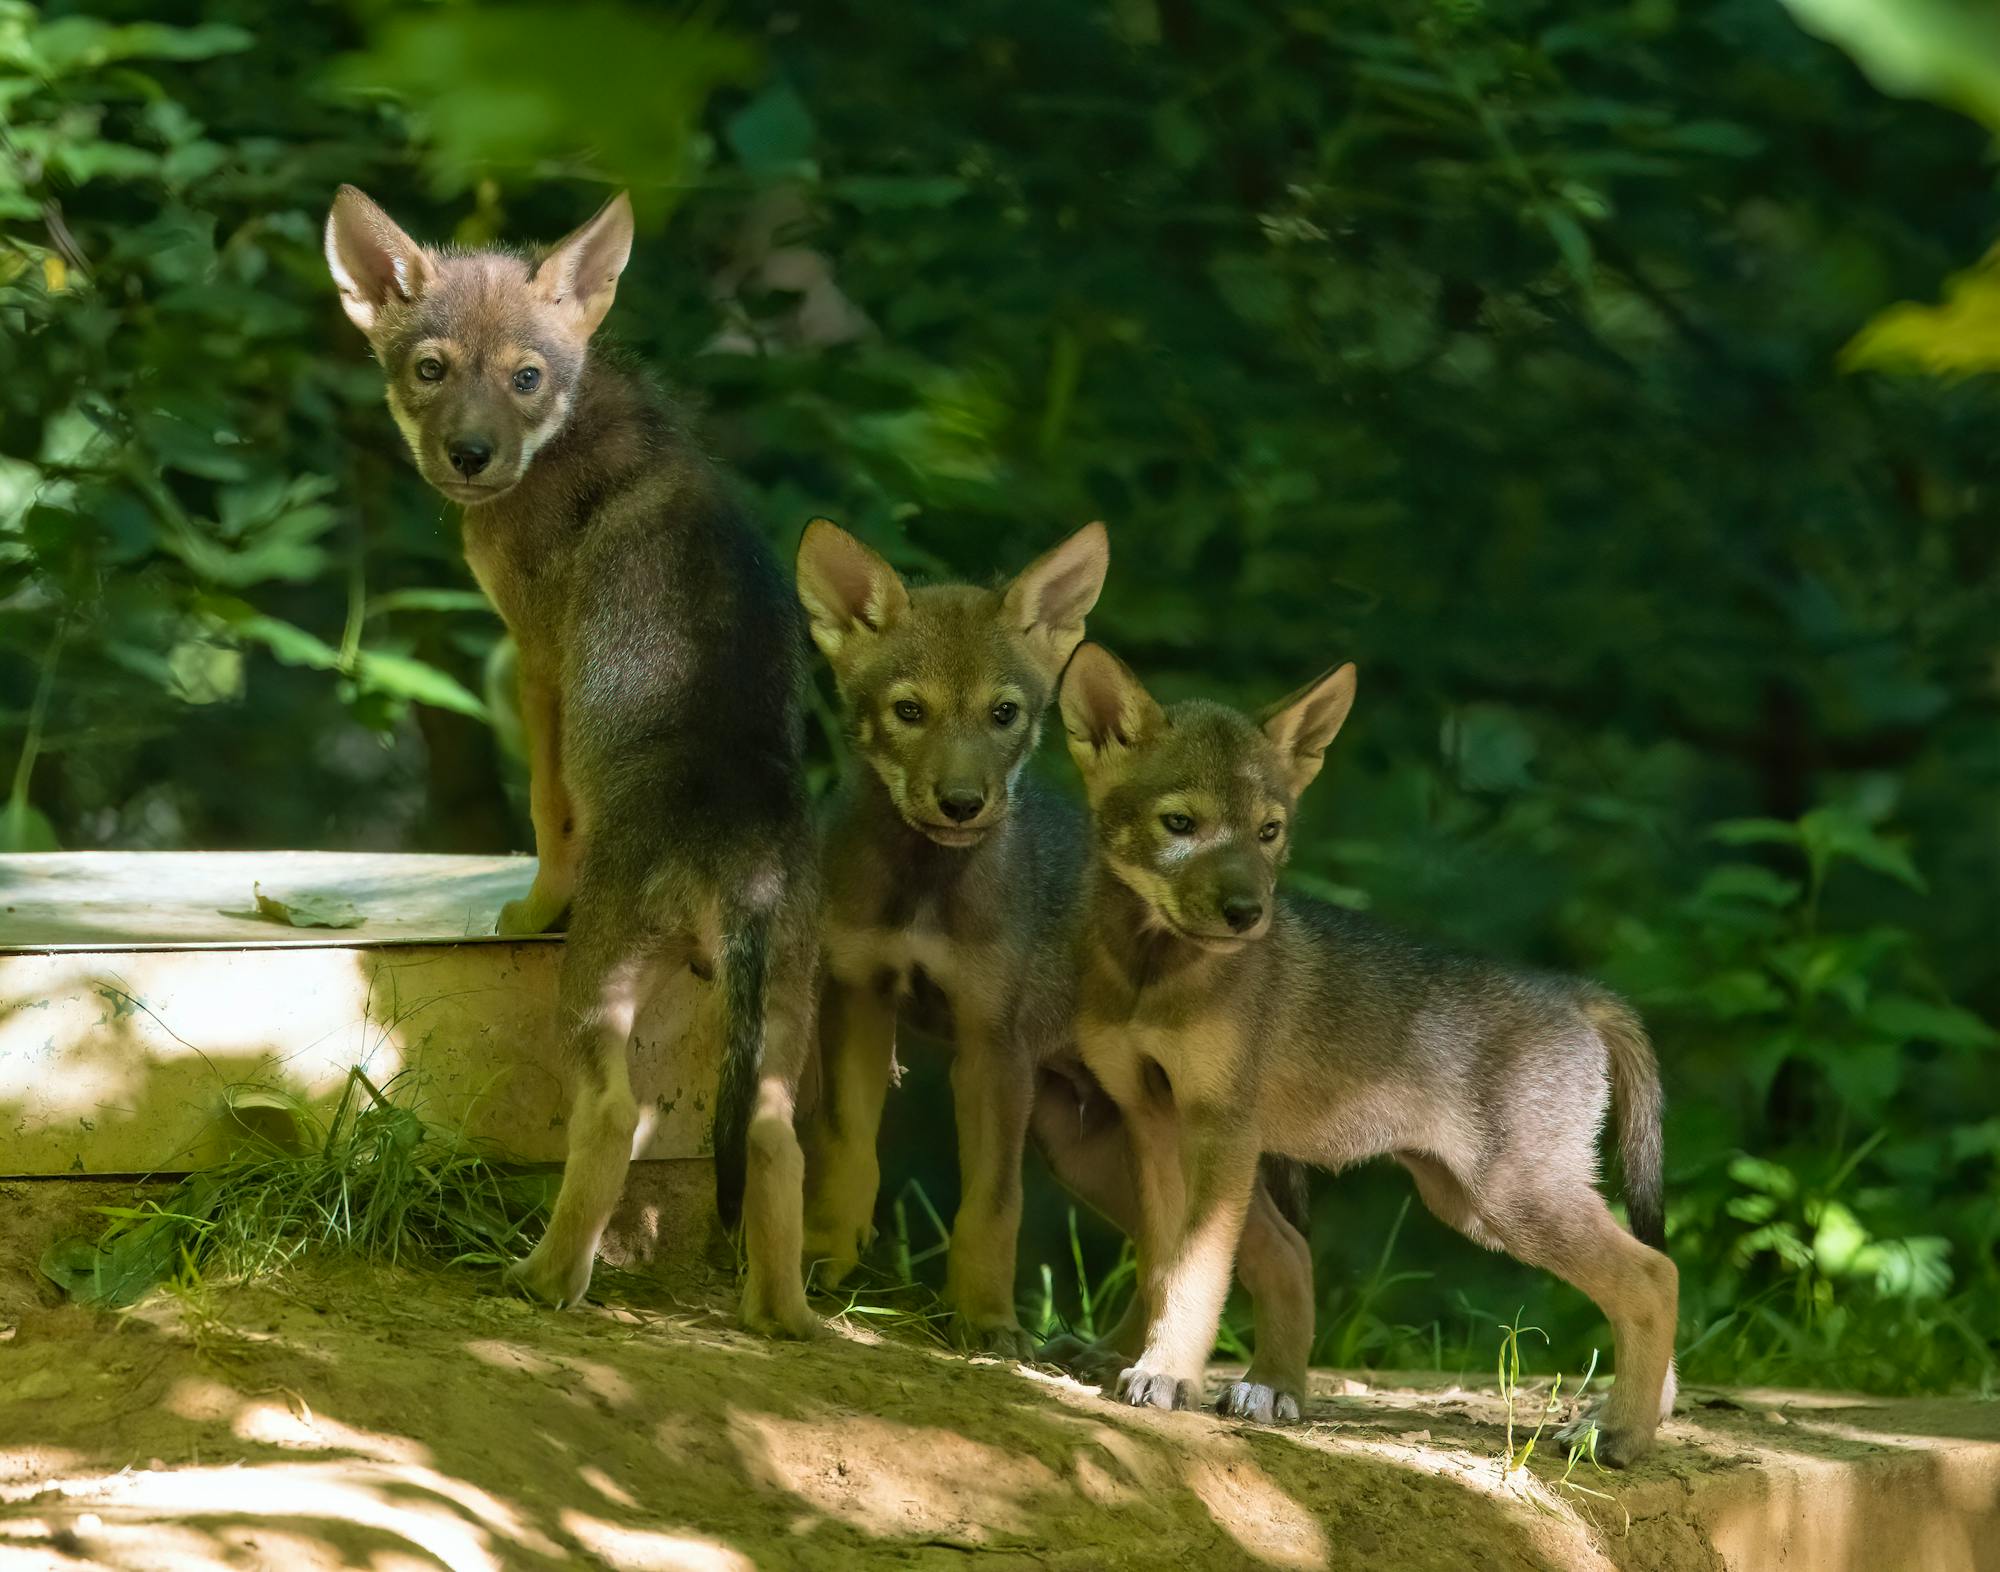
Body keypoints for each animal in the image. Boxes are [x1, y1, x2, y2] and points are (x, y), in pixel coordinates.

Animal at [324, 186, 819, 1338]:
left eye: (525, 376)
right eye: (431, 368)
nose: (468, 454)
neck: (571, 427)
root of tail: (743, 863)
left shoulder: (537, 662)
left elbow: (549, 813)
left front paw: (527, 908)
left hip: (596, 994)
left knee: (611, 1119)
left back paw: (545, 1279)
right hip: (779, 1023)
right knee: (774, 1143)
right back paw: (780, 1319)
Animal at [1056, 643, 1678, 1463]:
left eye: (1269, 831)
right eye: (1180, 823)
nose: (1247, 913)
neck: (1150, 977)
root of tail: (1577, 993)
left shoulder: (1224, 1132)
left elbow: (1196, 1276)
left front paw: (1166, 1376)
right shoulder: (1152, 1121)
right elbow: (1165, 1271)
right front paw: (1153, 1363)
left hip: (1513, 1200)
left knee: (1654, 1276)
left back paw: (1618, 1433)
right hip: (1472, 1203)